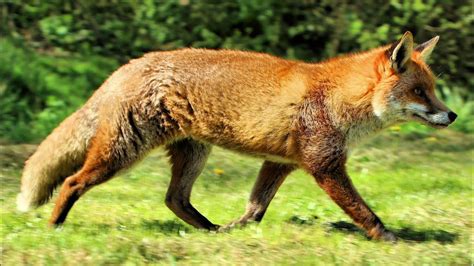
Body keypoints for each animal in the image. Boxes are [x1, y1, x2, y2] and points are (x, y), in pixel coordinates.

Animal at [17, 31, 456, 241]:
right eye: (420, 92)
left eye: (432, 89)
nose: (451, 115)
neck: (337, 96)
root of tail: (129, 65)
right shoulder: (324, 164)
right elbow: (365, 212)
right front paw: (391, 240)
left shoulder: (280, 163)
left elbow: (255, 209)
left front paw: (236, 231)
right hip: (124, 152)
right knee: (72, 182)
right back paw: (54, 228)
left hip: (193, 154)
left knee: (174, 199)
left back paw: (210, 231)